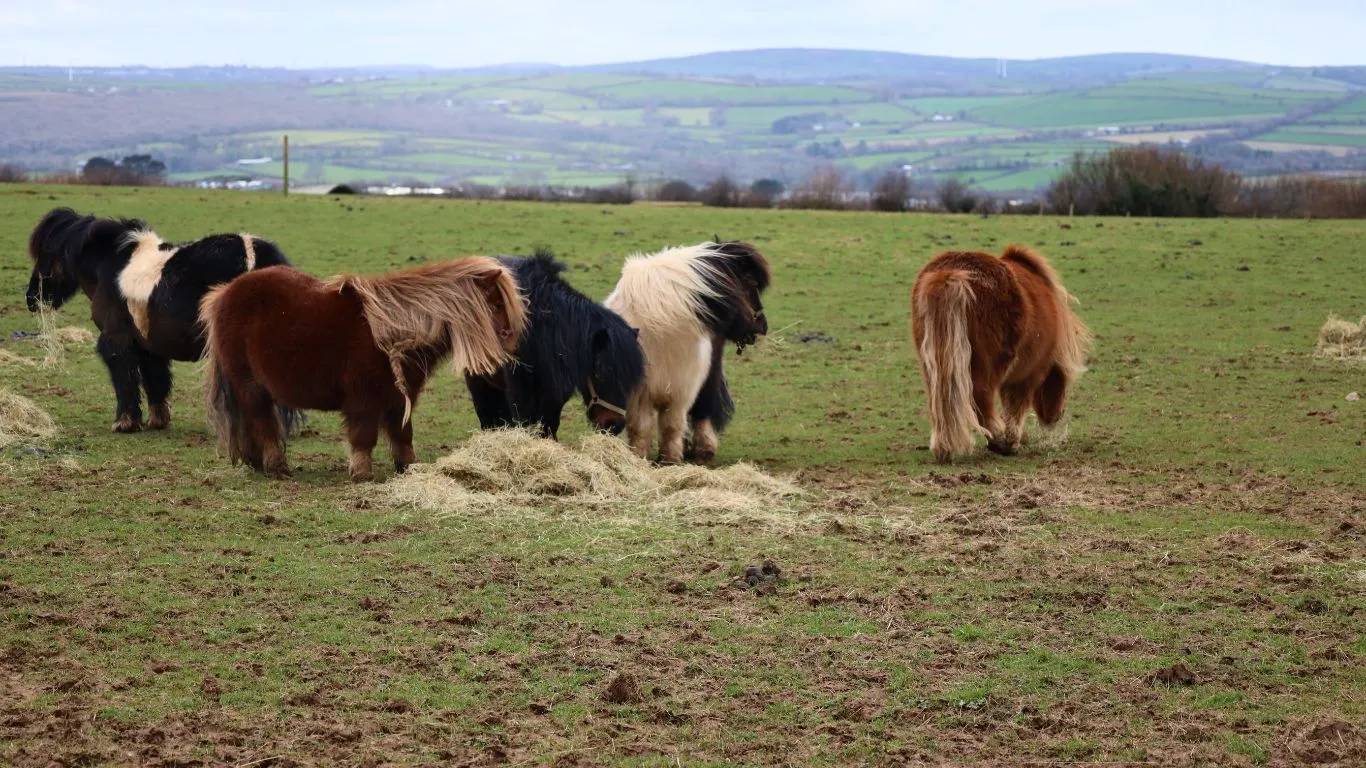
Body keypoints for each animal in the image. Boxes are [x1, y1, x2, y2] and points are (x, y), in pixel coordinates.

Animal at [24, 207, 292, 433]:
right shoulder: (149, 345)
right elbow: (155, 380)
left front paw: (125, 423)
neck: (111, 265)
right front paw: (158, 421)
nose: (32, 298)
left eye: (47, 257)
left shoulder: (116, 339)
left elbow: (125, 380)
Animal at [200, 258, 527, 481]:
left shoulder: (398, 400)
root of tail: (225, 293)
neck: (394, 334)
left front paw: (408, 467)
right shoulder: (364, 400)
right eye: (496, 304)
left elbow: (402, 435)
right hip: (251, 385)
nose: (514, 345)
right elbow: (364, 436)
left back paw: (256, 462)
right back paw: (276, 466)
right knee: (263, 423)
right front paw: (361, 473)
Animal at [464, 251, 644, 439]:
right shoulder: (520, 392)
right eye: (600, 373)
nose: (614, 425)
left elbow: (548, 424)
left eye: (631, 377)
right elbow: (525, 421)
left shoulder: (555, 393)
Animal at [604, 239, 771, 465]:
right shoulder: (640, 391)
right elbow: (641, 427)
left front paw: (671, 459)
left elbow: (671, 424)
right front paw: (639, 457)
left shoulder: (680, 389)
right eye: (751, 284)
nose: (762, 326)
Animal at [910, 244, 1092, 463]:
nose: (1057, 415)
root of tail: (949, 274)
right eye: (1062, 380)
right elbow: (1016, 404)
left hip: (934, 365)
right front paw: (1013, 439)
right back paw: (1000, 440)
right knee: (981, 398)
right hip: (988, 367)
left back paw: (943, 448)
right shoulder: (1029, 374)